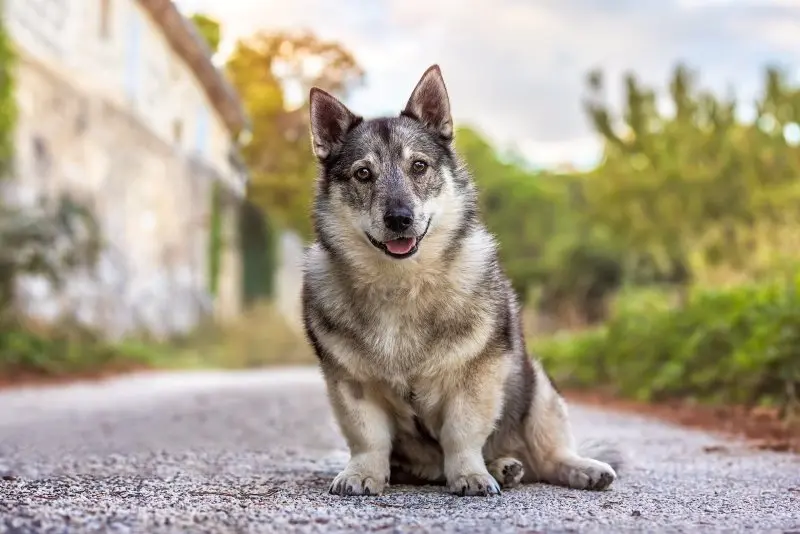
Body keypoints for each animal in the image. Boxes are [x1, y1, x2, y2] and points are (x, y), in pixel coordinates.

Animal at [304, 66, 620, 498]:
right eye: (363, 174)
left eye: (419, 167)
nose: (399, 219)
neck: (402, 283)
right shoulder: (352, 384)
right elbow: (368, 440)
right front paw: (363, 473)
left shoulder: (477, 377)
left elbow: (462, 434)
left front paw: (470, 474)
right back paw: (504, 467)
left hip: (538, 389)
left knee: (547, 455)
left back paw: (571, 468)